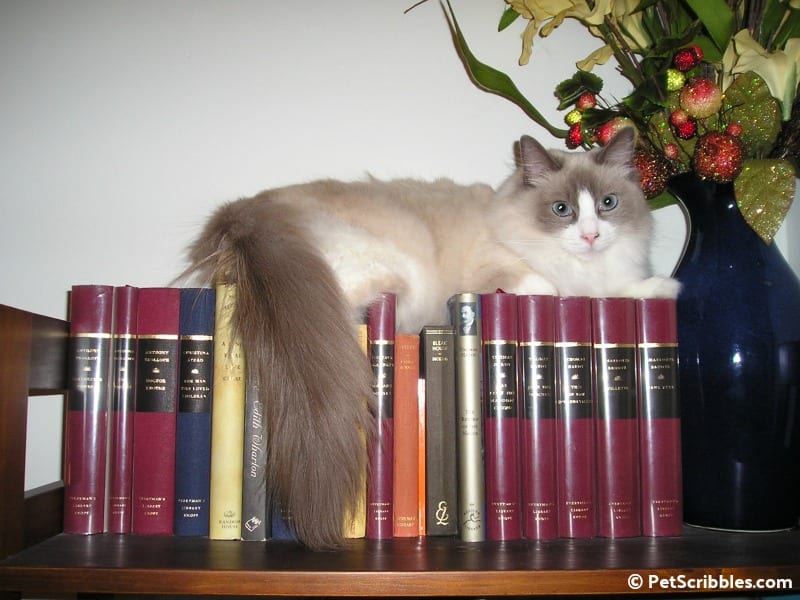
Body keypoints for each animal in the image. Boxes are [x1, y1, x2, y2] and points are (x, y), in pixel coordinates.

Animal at [184, 129, 680, 552]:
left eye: (608, 203)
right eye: (562, 210)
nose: (591, 236)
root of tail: (246, 212)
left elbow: (620, 289)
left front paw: (663, 288)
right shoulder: (505, 272)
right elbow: (554, 288)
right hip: (390, 274)